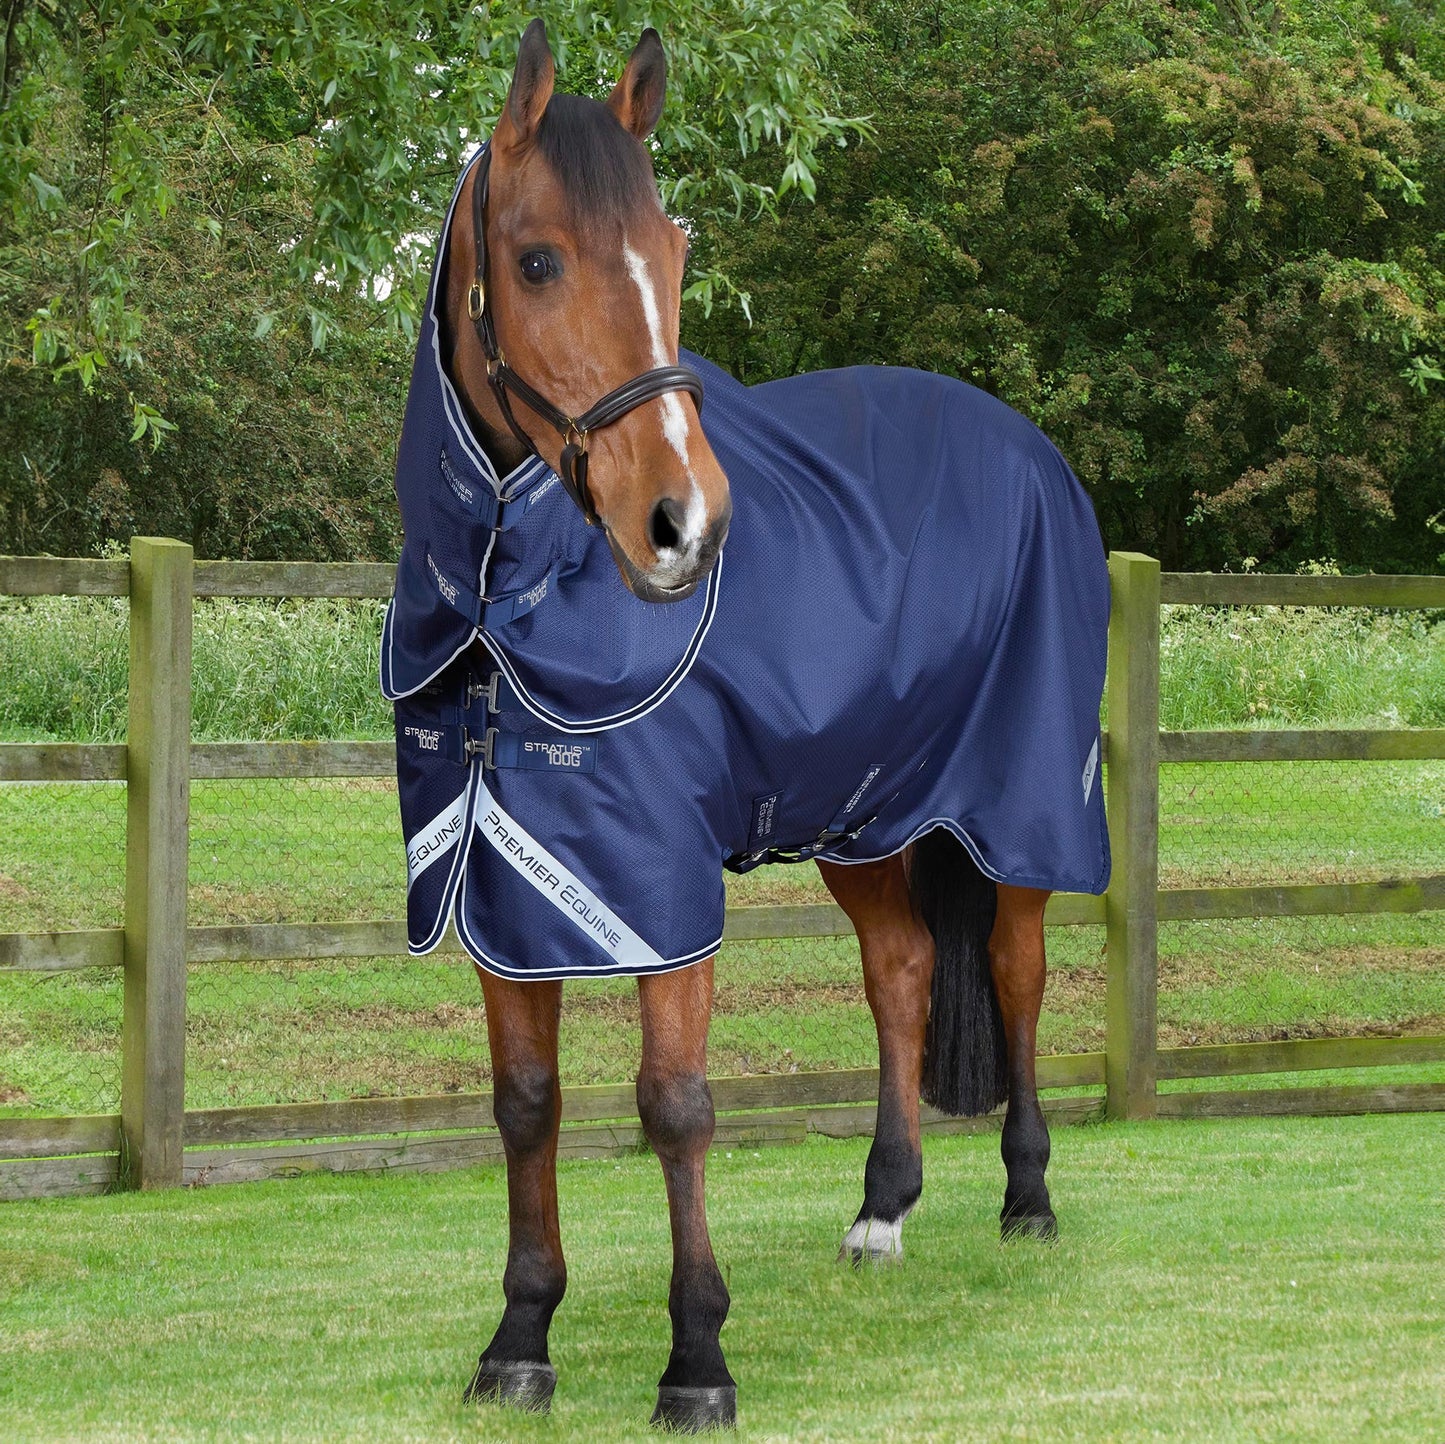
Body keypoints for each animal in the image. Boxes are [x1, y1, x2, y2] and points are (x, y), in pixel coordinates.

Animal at [382, 20, 1111, 1432]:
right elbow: (525, 1104)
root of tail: (1031, 451)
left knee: (1013, 970)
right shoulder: (503, 881)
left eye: (672, 257)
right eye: (537, 258)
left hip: (1018, 811)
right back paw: (882, 1211)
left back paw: (1030, 1197)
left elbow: (674, 1106)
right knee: (901, 973)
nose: (685, 525)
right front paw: (519, 1339)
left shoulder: (657, 886)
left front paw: (696, 1359)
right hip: (867, 819)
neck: (508, 601)